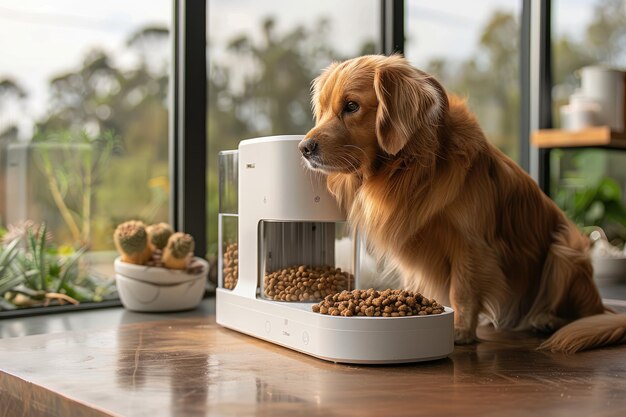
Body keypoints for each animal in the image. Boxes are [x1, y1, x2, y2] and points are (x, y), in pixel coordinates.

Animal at [298, 54, 624, 352]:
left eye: (352, 106)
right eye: (323, 110)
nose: (304, 148)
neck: (413, 167)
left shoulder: (472, 245)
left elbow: (463, 290)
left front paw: (459, 329)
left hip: (565, 251)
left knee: (580, 311)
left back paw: (546, 318)